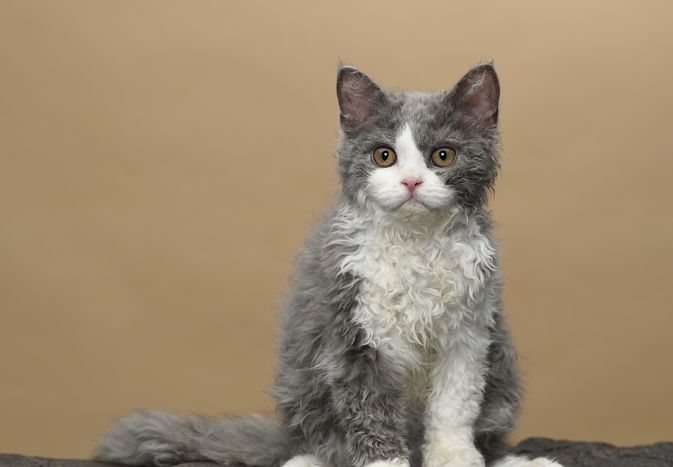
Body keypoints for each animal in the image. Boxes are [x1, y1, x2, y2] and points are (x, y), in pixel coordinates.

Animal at [94, 63, 560, 467]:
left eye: (442, 156)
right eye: (384, 156)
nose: (411, 182)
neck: (416, 243)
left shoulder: (468, 335)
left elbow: (453, 410)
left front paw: (456, 458)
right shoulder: (352, 335)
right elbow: (370, 412)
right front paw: (386, 463)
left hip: (502, 366)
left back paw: (524, 461)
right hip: (302, 385)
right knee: (318, 444)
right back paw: (303, 460)